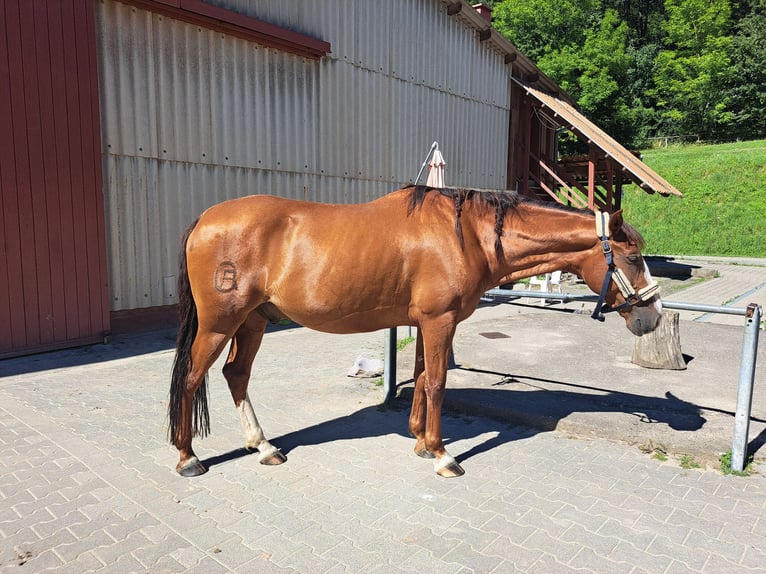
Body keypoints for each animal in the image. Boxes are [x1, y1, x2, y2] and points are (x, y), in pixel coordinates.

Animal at [171, 187, 664, 480]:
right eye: (633, 256)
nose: (653, 317)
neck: (468, 236)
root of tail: (203, 220)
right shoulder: (439, 320)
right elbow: (439, 382)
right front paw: (443, 454)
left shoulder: (431, 323)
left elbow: (425, 377)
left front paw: (422, 444)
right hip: (220, 323)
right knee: (192, 378)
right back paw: (188, 457)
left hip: (253, 321)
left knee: (236, 375)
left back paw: (264, 446)